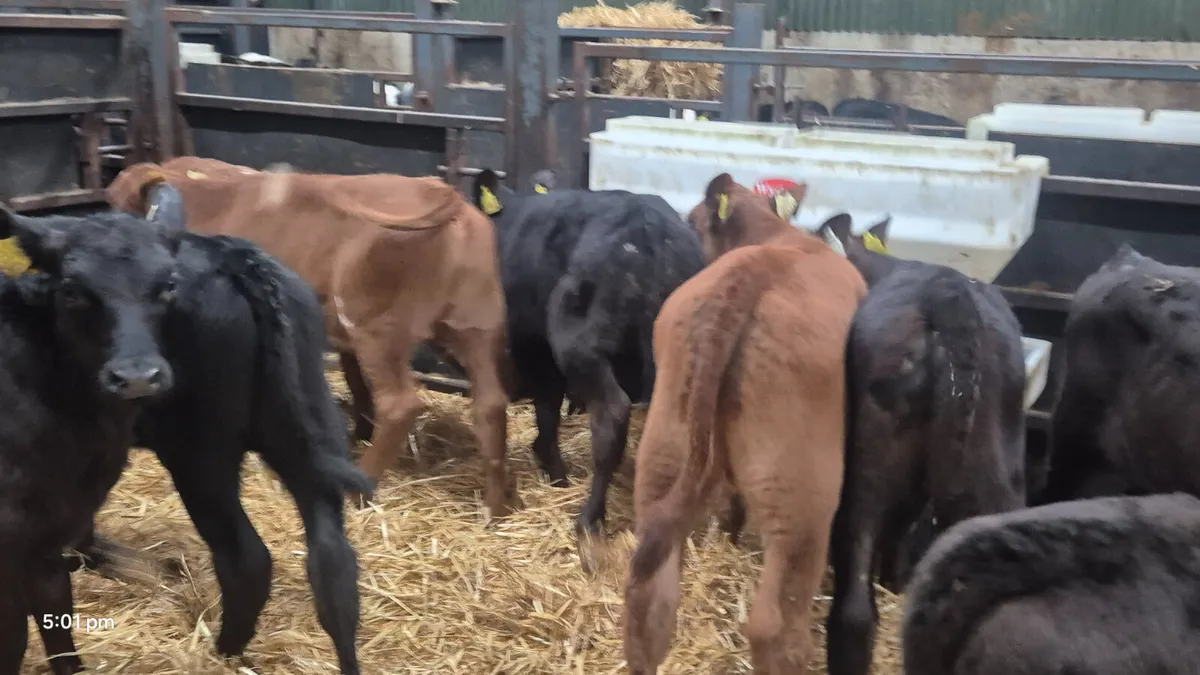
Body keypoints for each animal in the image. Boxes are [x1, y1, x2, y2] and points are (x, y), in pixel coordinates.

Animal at [106, 158, 518, 518]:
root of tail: (445, 196)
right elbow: (353, 381)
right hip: (476, 328)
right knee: (490, 405)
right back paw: (495, 508)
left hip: (378, 330)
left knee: (400, 404)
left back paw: (357, 490)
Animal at [466, 169, 706, 536]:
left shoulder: (536, 347)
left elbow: (547, 406)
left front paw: (554, 469)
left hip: (581, 345)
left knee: (611, 414)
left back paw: (589, 517)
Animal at [623, 174, 867, 674]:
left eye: (691, 220)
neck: (779, 237)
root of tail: (751, 277)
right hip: (799, 496)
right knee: (775, 625)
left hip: (666, 450)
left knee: (650, 596)